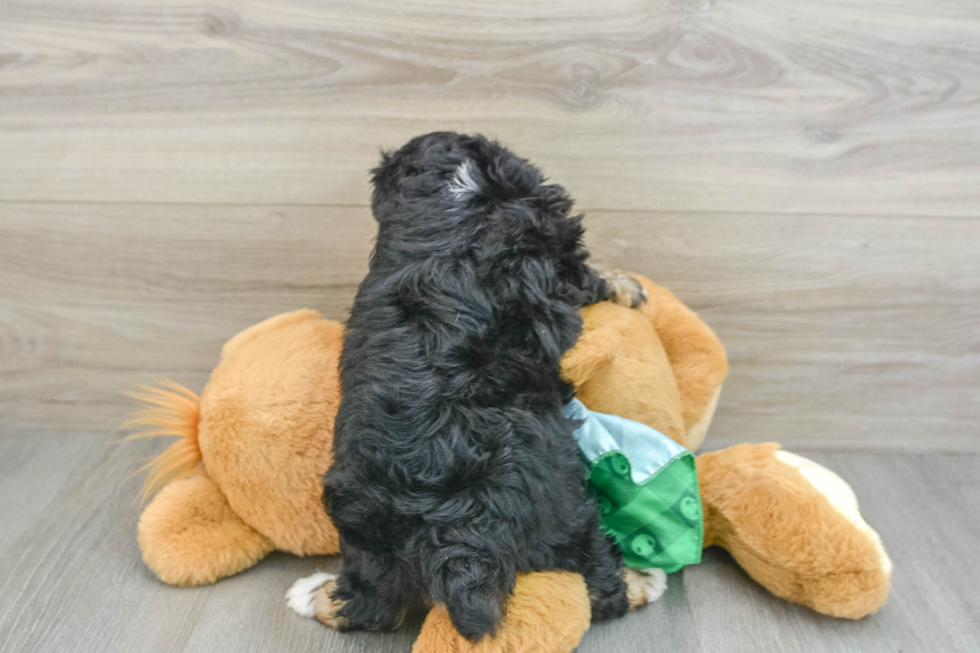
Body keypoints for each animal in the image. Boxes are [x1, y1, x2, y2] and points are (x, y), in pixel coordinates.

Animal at [322, 134, 644, 640]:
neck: (454, 193)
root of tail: (457, 520)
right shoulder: (558, 251)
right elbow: (587, 278)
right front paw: (625, 284)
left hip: (364, 528)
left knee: (375, 603)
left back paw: (332, 603)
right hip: (568, 510)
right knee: (594, 570)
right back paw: (631, 585)